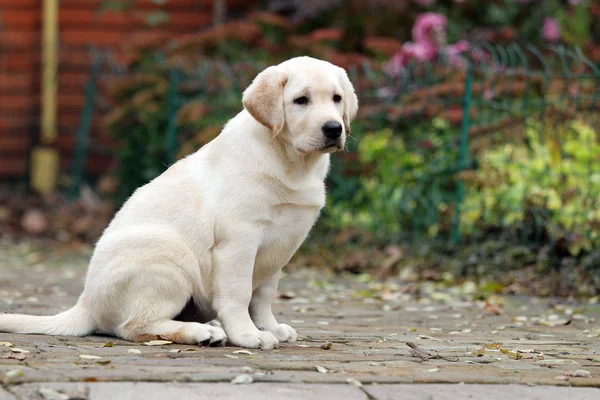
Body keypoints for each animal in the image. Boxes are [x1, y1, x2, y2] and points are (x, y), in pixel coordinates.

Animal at [0, 56, 356, 350]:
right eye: (301, 100)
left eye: (337, 99)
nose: (334, 129)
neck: (292, 164)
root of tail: (86, 303)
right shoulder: (239, 241)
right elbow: (240, 293)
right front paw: (248, 335)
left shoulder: (280, 246)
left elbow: (263, 296)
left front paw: (269, 327)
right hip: (169, 256)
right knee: (133, 326)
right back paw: (202, 333)